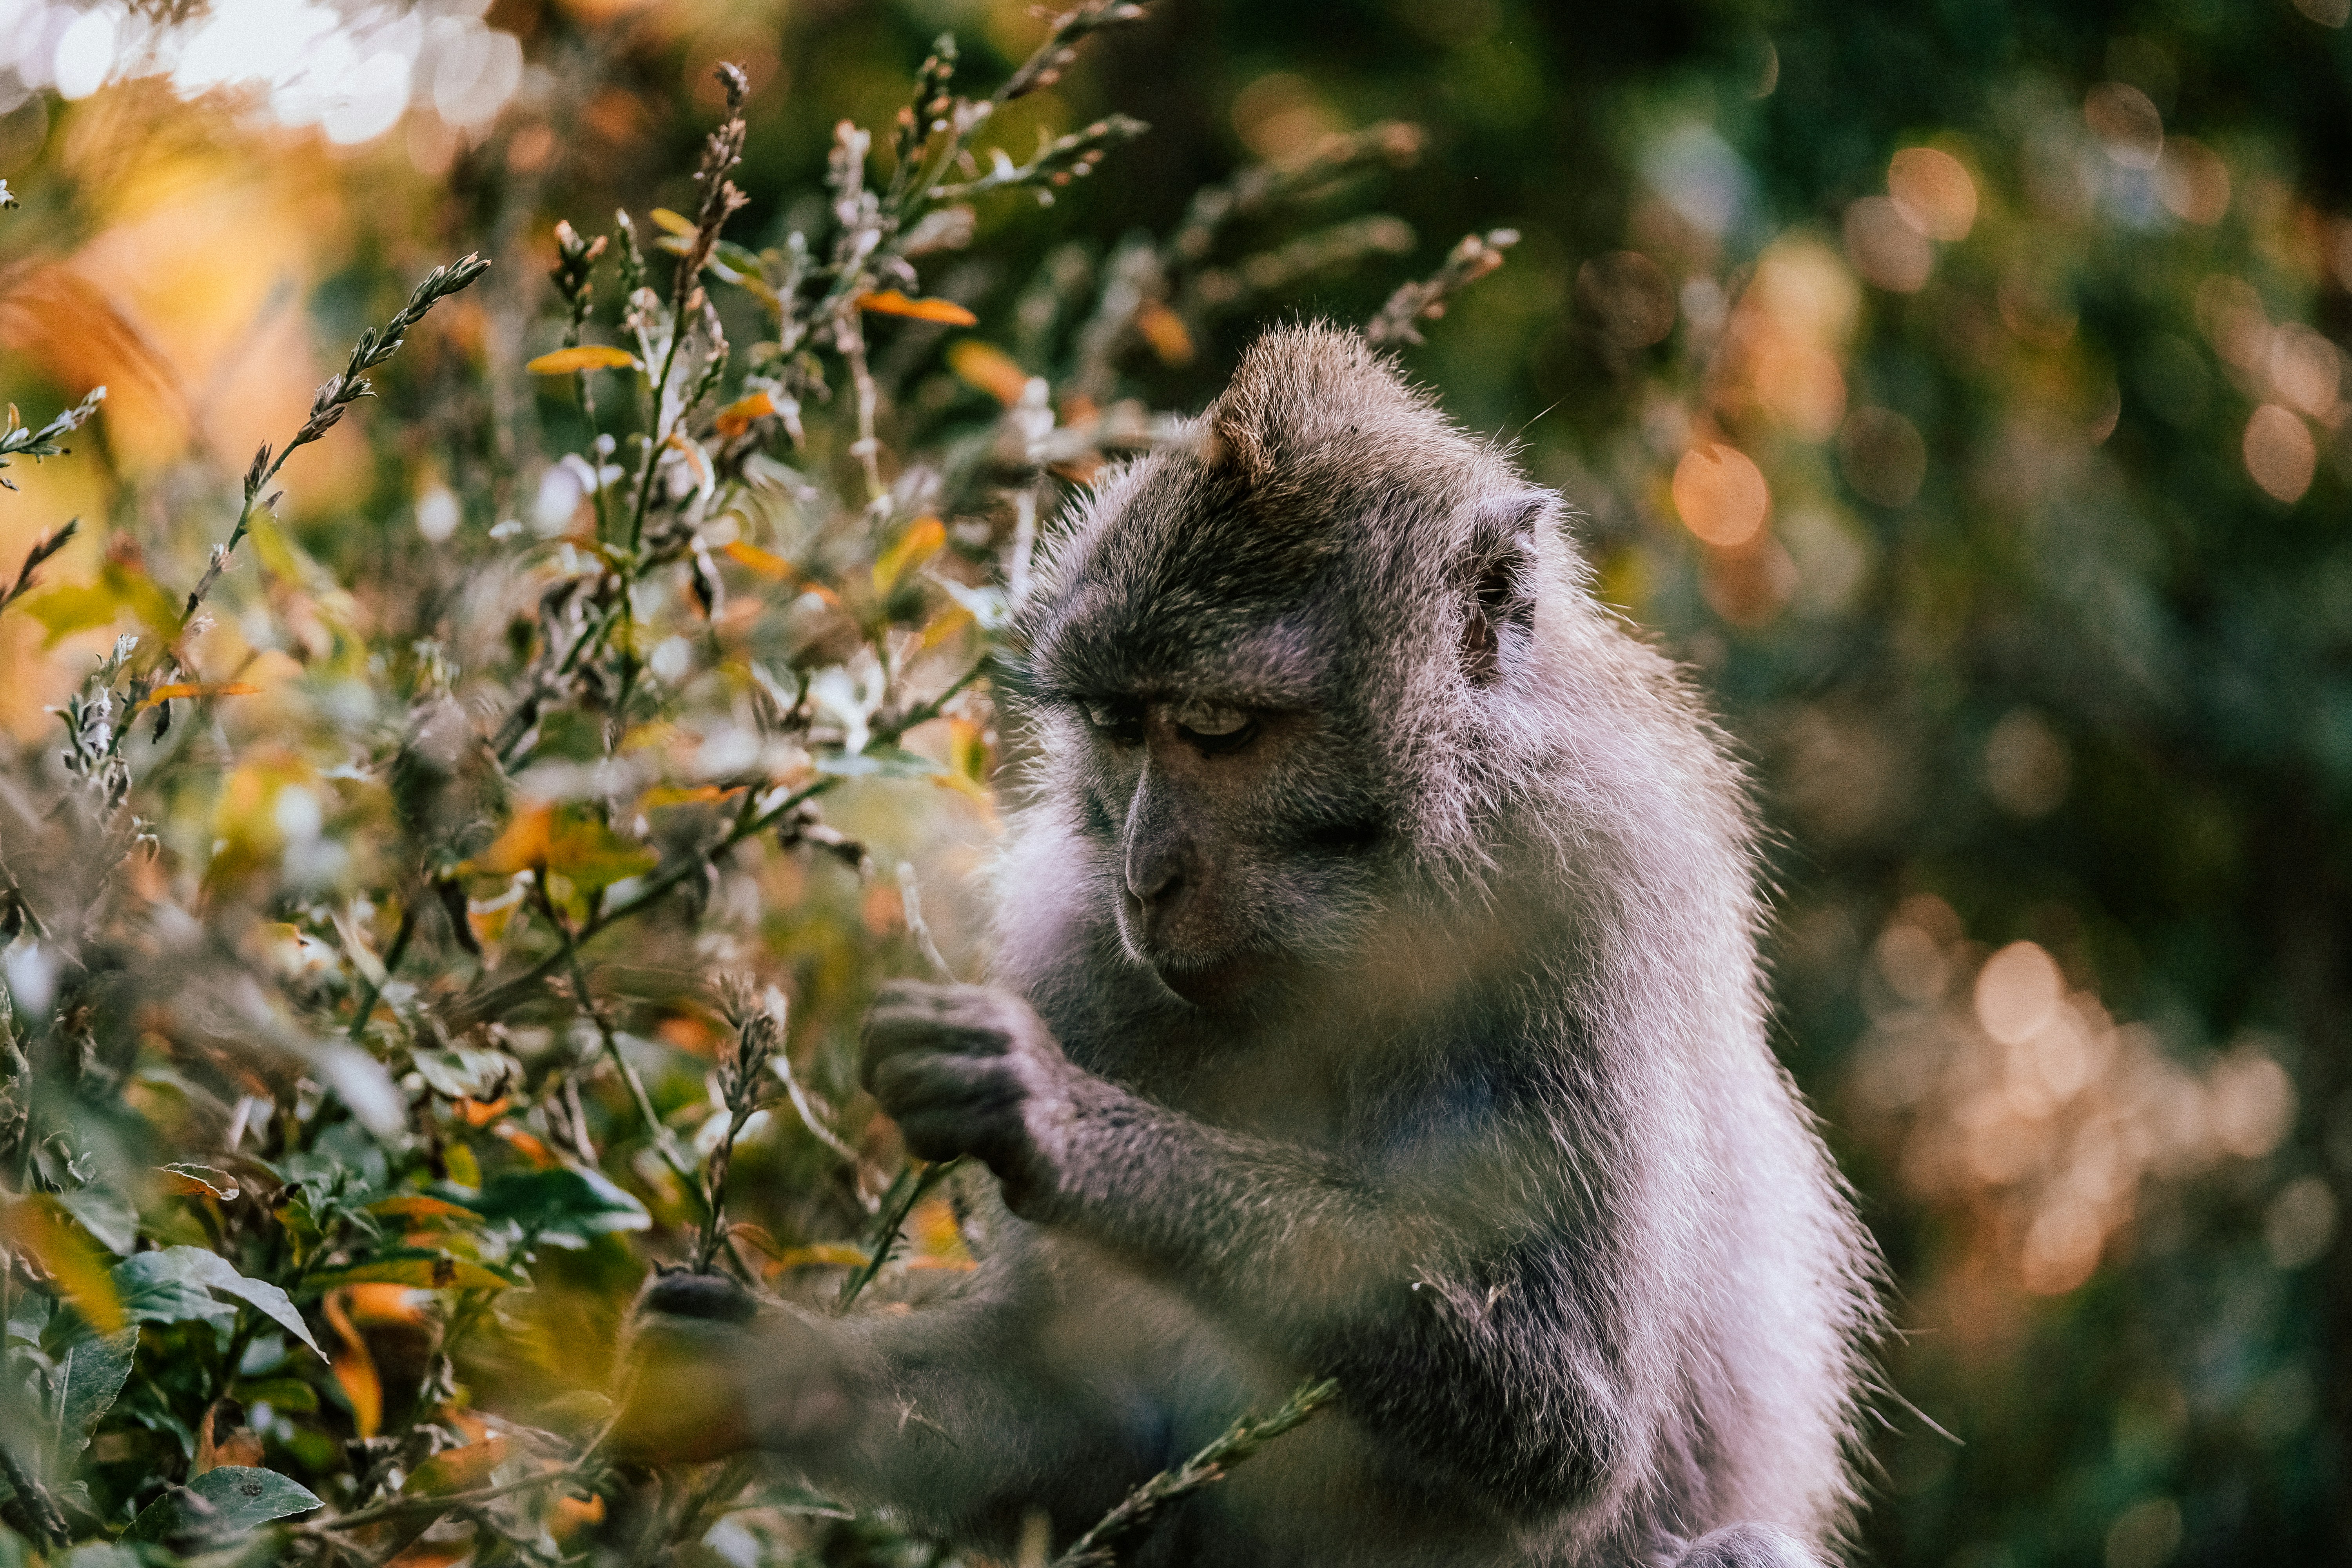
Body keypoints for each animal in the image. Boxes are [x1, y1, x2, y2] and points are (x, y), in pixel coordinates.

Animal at [618, 324, 1881, 1568]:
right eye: (1122, 727)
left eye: (1220, 729)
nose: (1145, 877)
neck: (1355, 935)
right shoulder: (1074, 952)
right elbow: (1088, 1431)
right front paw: (774, 1374)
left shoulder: (1585, 898)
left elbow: (1572, 1419)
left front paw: (1061, 1123)